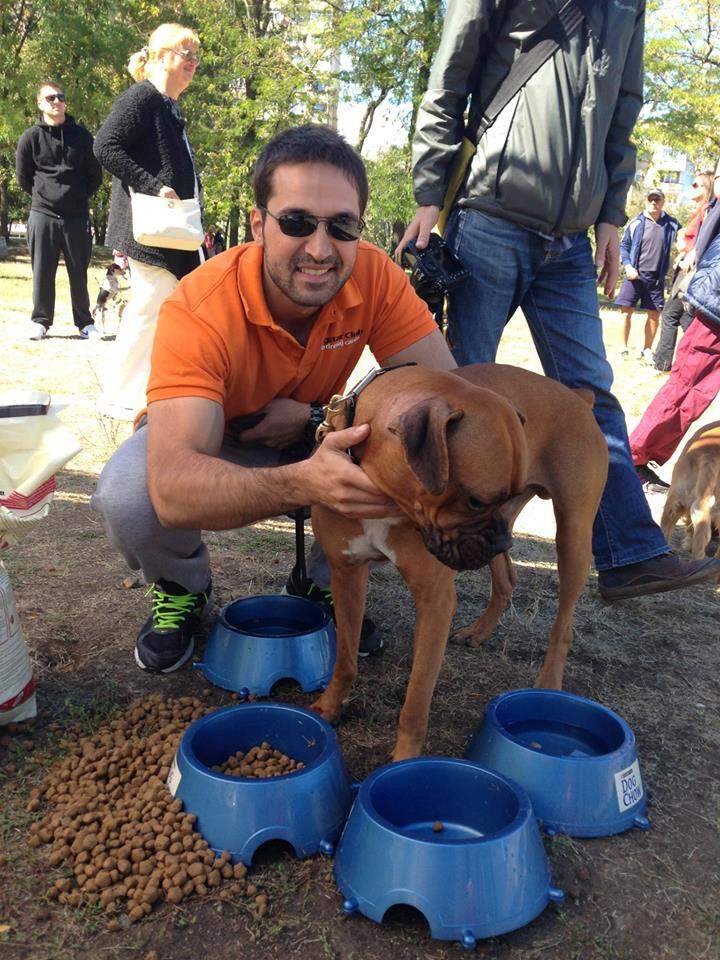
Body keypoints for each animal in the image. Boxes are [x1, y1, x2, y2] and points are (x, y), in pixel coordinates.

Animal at [312, 364, 612, 760]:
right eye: (475, 500)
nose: (503, 540)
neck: (382, 491)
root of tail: (578, 396)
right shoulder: (346, 575)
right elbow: (345, 660)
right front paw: (328, 707)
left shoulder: (435, 601)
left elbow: (416, 701)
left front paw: (404, 758)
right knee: (507, 579)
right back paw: (479, 631)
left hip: (572, 537)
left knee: (563, 625)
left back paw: (547, 683)